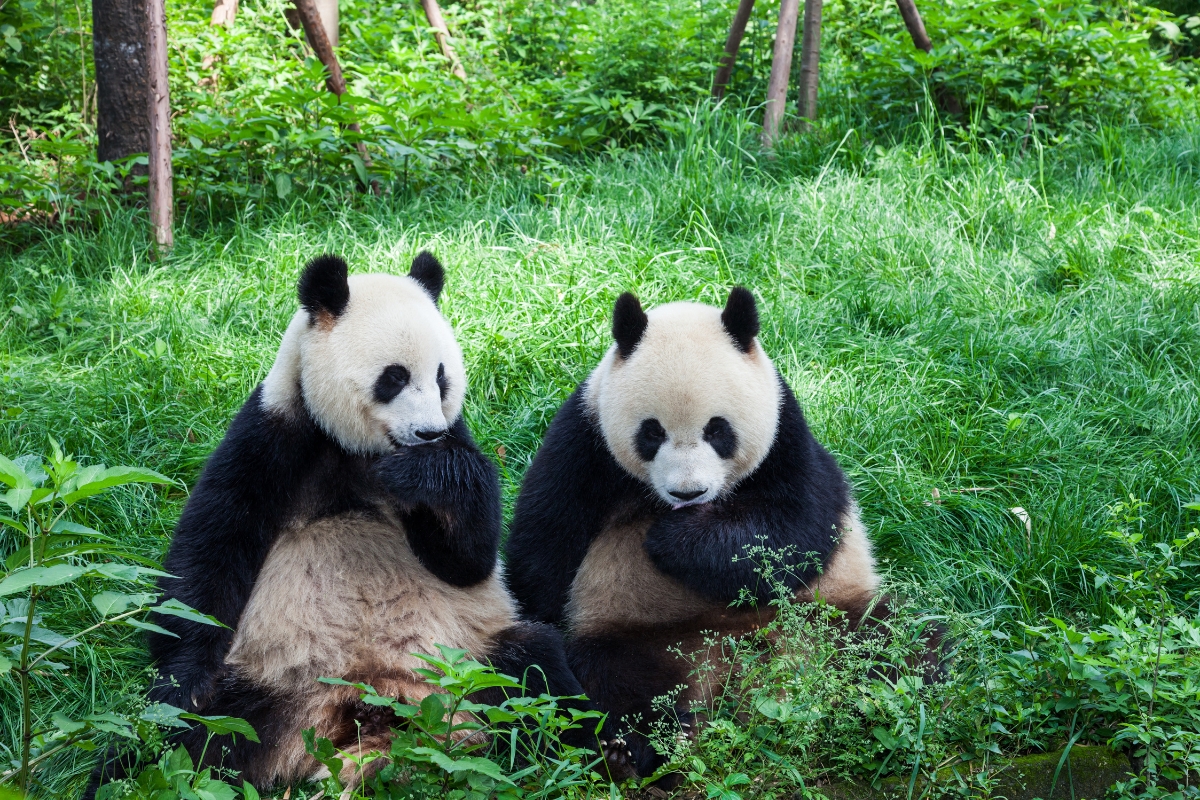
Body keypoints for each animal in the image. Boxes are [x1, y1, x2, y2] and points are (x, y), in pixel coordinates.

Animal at [97, 253, 595, 793]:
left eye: (442, 376)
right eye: (394, 377)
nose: (428, 433)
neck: (359, 449)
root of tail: (366, 710)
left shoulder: (454, 440)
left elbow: (469, 560)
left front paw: (428, 474)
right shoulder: (274, 432)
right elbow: (212, 550)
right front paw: (187, 674)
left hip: (470, 664)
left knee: (536, 675)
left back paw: (592, 759)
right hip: (263, 684)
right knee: (172, 736)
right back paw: (124, 773)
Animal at [505, 287, 931, 780]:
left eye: (717, 429)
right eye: (652, 432)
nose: (688, 493)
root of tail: (731, 678)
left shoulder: (785, 433)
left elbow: (794, 530)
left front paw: (673, 539)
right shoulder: (585, 437)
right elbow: (545, 541)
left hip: (825, 617)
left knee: (897, 644)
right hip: (639, 634)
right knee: (613, 680)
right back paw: (631, 750)